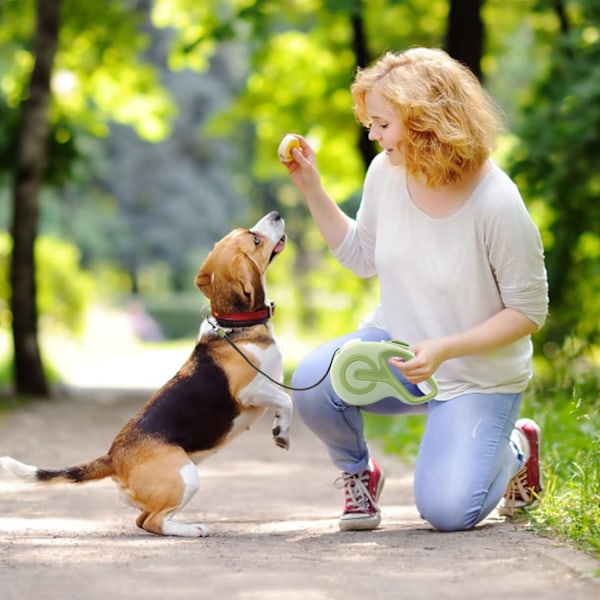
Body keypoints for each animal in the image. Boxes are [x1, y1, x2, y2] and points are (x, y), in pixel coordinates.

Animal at [0, 212, 290, 540]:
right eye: (255, 239)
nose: (276, 215)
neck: (235, 325)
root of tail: (113, 456)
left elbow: (283, 403)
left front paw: (279, 429)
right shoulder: (251, 391)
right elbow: (287, 399)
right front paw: (283, 432)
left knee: (143, 520)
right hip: (186, 476)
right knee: (154, 521)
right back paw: (192, 529)